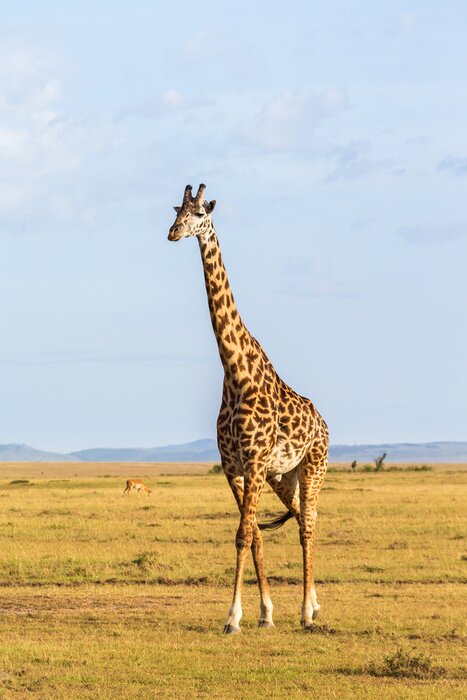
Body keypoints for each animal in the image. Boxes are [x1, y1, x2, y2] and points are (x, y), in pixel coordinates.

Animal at [168, 184, 329, 633]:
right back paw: (310, 606)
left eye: (200, 214)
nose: (173, 233)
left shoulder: (255, 462)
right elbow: (252, 533)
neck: (235, 371)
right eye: (176, 210)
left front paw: (232, 618)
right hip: (283, 476)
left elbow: (243, 534)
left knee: (309, 525)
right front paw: (264, 612)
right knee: (299, 518)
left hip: (313, 466)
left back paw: (307, 613)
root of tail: (324, 423)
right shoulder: (234, 467)